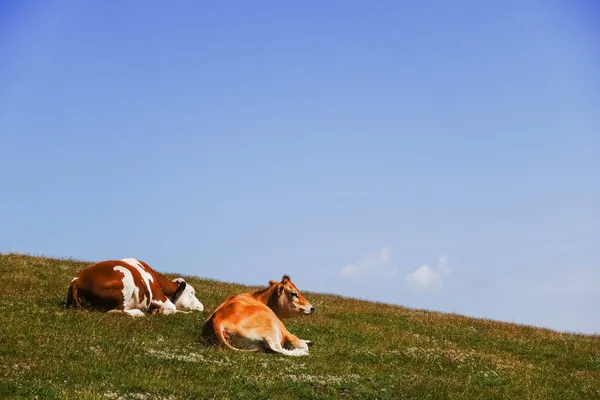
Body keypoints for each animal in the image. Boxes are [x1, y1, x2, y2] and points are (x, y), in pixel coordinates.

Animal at [64, 258, 203, 318]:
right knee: (115, 310)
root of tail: (77, 280)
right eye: (192, 292)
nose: (201, 306)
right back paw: (140, 312)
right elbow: (173, 308)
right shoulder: (159, 297)